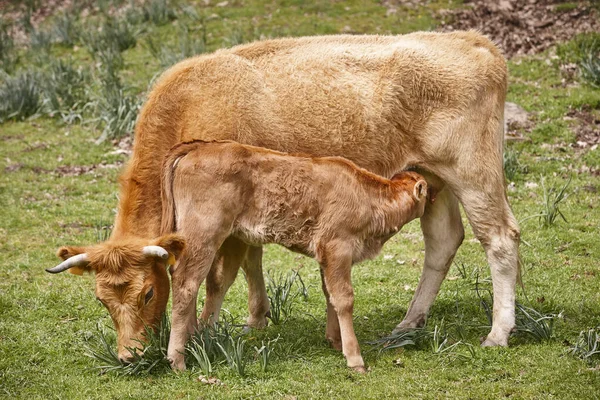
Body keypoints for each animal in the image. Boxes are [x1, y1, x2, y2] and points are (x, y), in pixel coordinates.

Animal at [159, 141, 432, 372]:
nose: (433, 197)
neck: (367, 198)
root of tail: (201, 146)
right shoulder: (338, 248)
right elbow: (344, 299)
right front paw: (355, 358)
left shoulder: (326, 256)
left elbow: (329, 294)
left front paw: (335, 341)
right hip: (203, 237)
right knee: (186, 284)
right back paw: (178, 360)